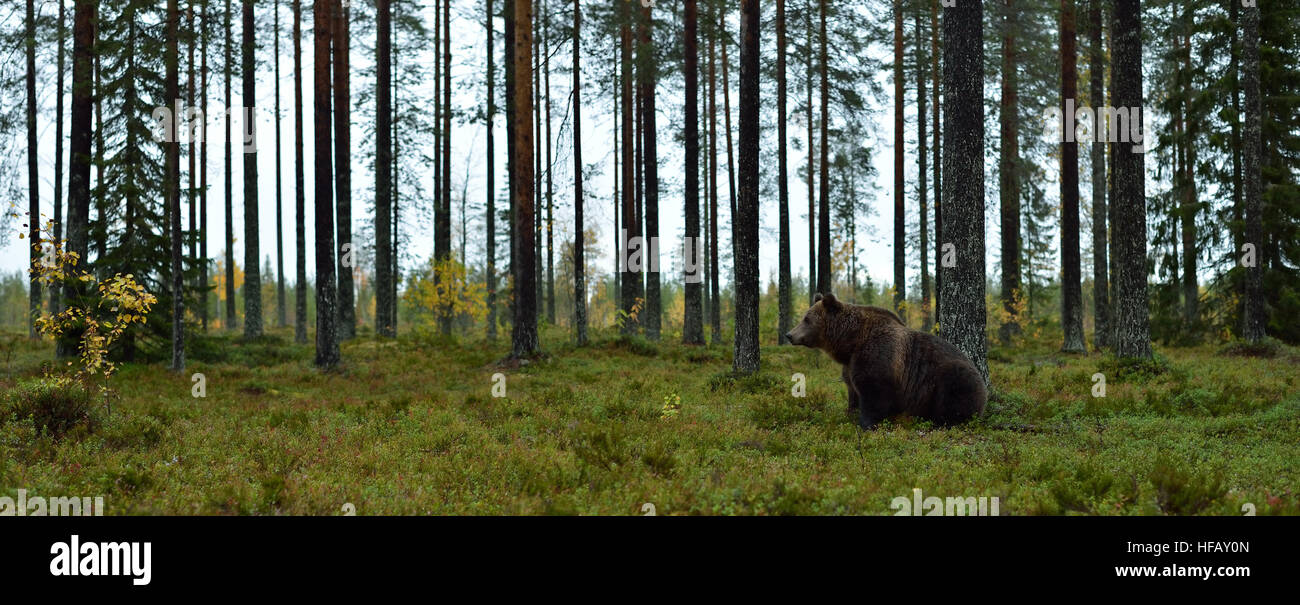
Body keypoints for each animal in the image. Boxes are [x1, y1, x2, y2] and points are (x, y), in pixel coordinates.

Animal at [785, 292, 986, 429]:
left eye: (806, 319)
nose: (789, 335)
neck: (851, 342)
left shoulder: (879, 357)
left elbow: (874, 394)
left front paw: (866, 424)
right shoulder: (850, 365)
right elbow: (852, 391)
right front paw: (849, 414)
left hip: (951, 377)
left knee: (954, 399)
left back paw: (942, 421)